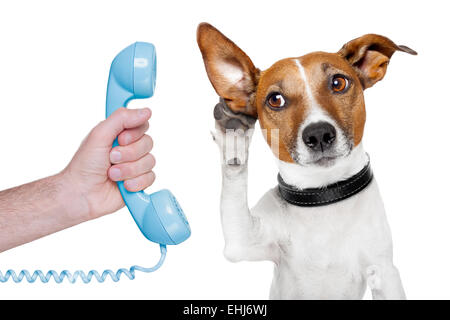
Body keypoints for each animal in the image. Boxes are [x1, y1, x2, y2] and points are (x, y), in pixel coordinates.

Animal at [199, 23, 416, 300]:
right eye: (275, 99)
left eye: (338, 83)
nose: (319, 133)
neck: (324, 196)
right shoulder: (243, 242)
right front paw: (233, 137)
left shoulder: (384, 271)